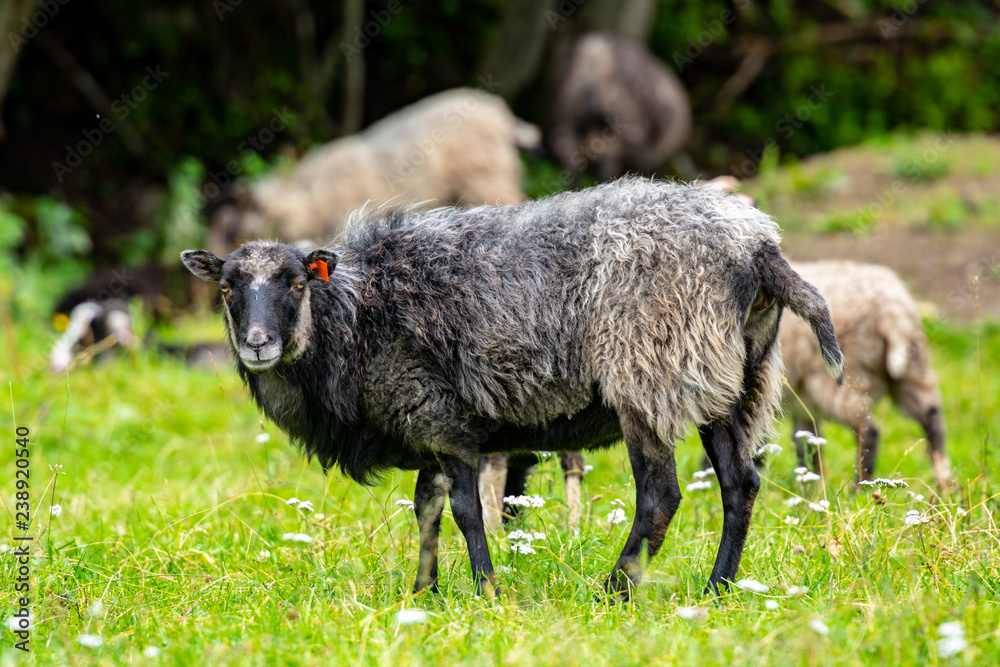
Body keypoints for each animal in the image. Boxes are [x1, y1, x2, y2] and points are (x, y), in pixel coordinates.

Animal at [181, 178, 843, 599]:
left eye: (297, 283)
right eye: (227, 289)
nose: (258, 344)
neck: (355, 315)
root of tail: (758, 246)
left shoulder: (440, 419)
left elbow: (466, 510)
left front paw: (485, 591)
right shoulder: (428, 425)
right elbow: (426, 509)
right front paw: (423, 594)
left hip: (650, 373)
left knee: (660, 496)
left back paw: (613, 591)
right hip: (731, 379)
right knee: (740, 484)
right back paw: (717, 590)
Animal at [780, 261, 949, 487]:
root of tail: (891, 308)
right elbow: (808, 447)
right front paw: (810, 489)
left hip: (840, 378)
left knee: (869, 431)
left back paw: (859, 489)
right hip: (911, 367)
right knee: (931, 415)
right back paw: (944, 481)